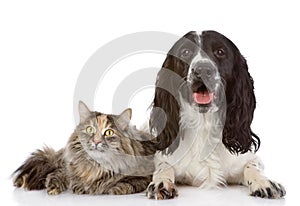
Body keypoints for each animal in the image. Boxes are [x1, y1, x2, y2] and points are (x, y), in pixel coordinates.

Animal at [12, 101, 156, 195]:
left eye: (109, 132)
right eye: (90, 129)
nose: (96, 141)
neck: (95, 167)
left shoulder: (143, 177)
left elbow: (125, 185)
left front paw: (111, 189)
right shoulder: (69, 169)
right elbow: (59, 176)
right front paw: (59, 188)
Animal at [145, 30, 286, 200]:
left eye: (220, 52)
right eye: (185, 52)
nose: (203, 70)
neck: (204, 125)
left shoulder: (249, 159)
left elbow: (252, 166)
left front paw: (263, 182)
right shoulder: (163, 157)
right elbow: (163, 168)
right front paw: (161, 183)